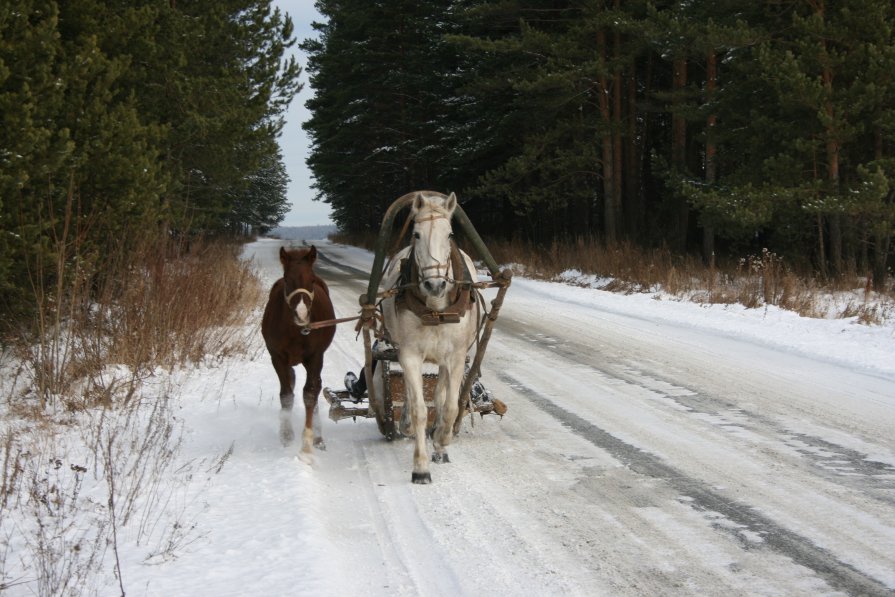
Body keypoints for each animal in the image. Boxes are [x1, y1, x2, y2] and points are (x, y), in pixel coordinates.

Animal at [264, 244, 338, 454]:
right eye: (287, 278)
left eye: (311, 279)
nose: (302, 313)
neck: (295, 330)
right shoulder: (277, 358)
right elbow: (287, 395)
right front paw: (286, 435)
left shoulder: (315, 358)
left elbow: (310, 394)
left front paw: (309, 439)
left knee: (316, 386)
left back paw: (318, 436)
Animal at [376, 191, 480, 484]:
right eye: (416, 234)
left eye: (450, 234)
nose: (435, 284)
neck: (435, 307)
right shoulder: (409, 354)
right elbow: (419, 409)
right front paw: (420, 466)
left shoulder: (456, 357)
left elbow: (450, 407)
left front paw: (442, 440)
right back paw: (406, 424)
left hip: (445, 358)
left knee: (442, 395)